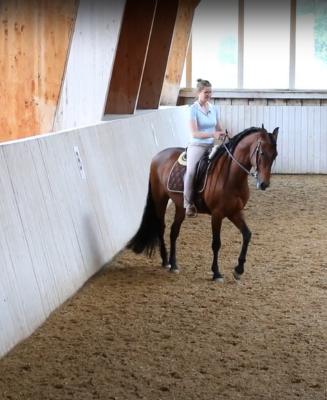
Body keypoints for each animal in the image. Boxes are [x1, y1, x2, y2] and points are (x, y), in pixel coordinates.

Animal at [125, 125, 280, 282]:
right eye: (262, 152)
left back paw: (174, 264)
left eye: (275, 155)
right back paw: (165, 261)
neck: (231, 176)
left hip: (181, 206)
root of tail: (157, 156)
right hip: (160, 200)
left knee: (174, 231)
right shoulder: (217, 214)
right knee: (161, 227)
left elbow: (247, 234)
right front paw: (216, 273)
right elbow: (216, 243)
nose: (264, 184)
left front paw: (239, 270)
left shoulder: (236, 212)